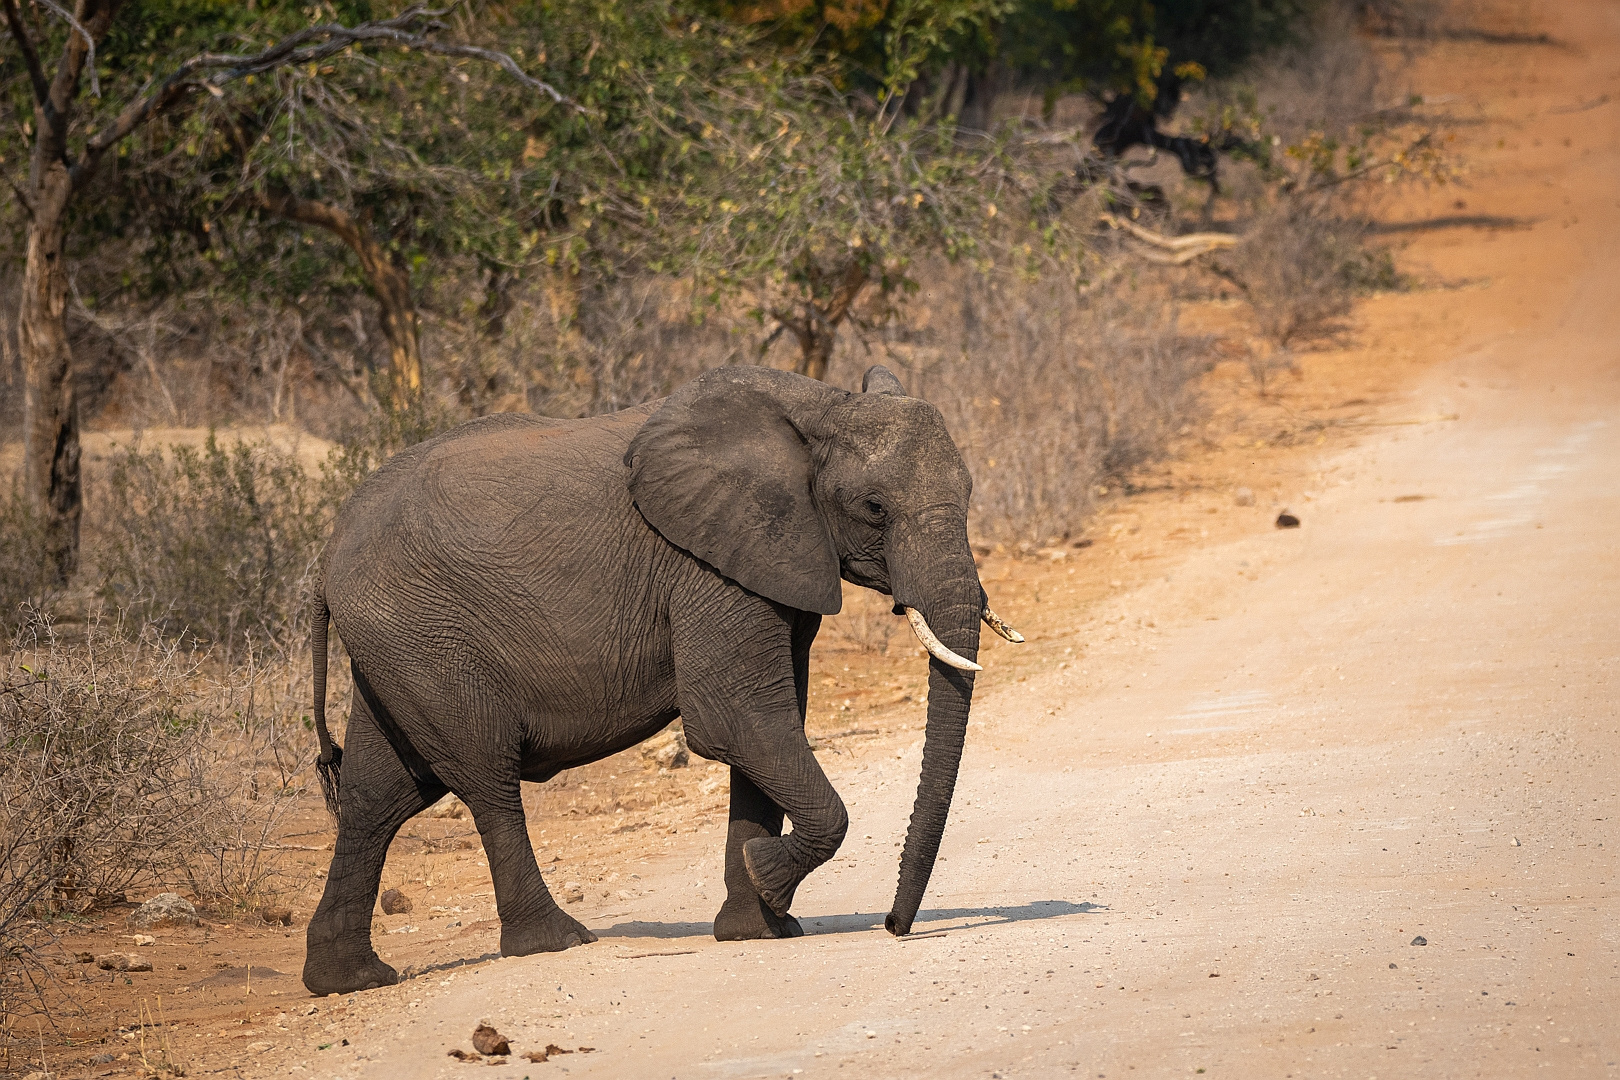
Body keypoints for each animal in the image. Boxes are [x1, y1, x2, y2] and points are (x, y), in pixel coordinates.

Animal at [298, 362, 1017, 997]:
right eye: (873, 508)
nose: (896, 927)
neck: (819, 404)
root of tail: (325, 555)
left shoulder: (772, 561)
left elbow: (764, 730)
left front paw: (762, 927)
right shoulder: (709, 565)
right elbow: (737, 720)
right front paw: (768, 880)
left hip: (396, 646)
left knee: (378, 795)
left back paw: (349, 980)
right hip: (424, 635)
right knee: (484, 777)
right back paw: (556, 941)